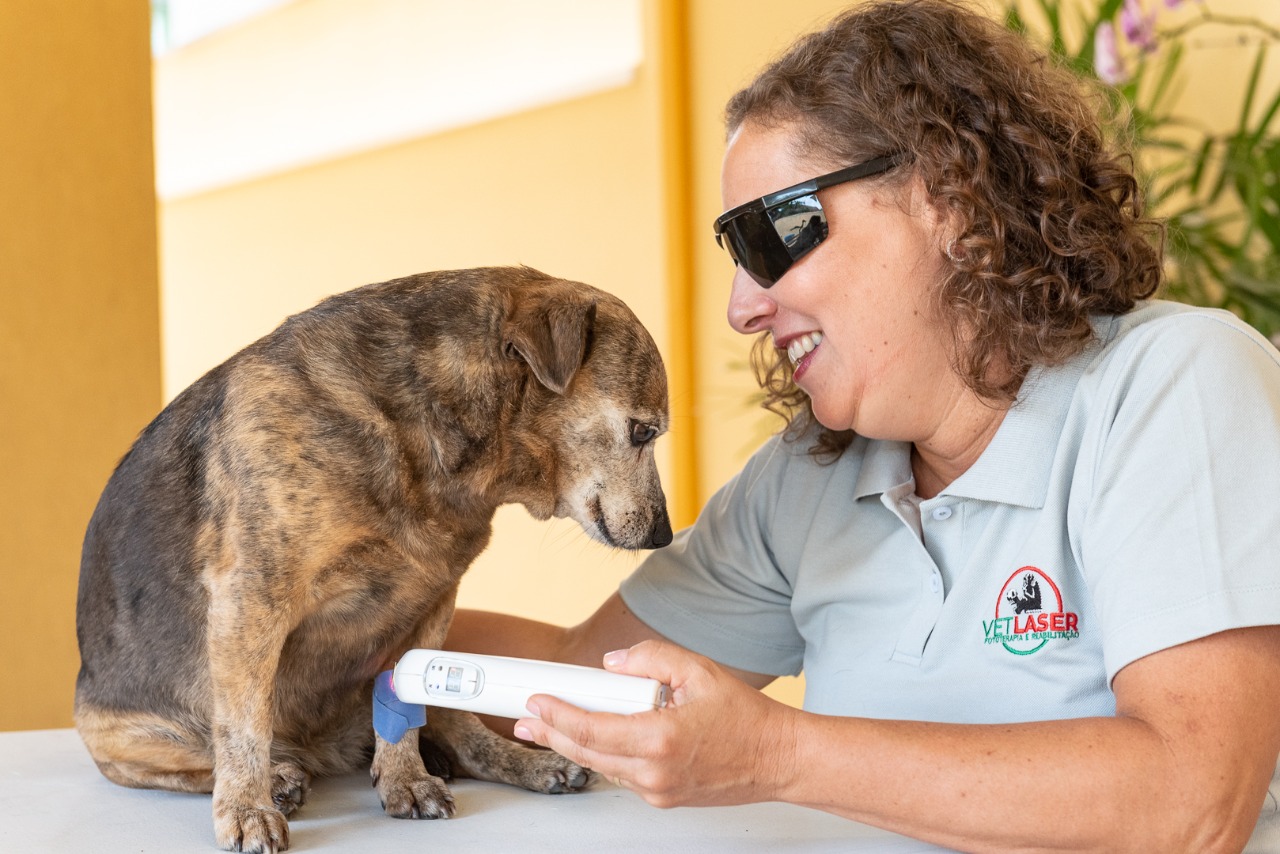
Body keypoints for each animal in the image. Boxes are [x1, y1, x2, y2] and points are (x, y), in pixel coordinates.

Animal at [72, 263, 670, 850]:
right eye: (643, 431)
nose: (664, 535)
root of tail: (323, 750)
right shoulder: (252, 597)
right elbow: (243, 728)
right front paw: (247, 808)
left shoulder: (430, 608)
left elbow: (403, 715)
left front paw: (406, 779)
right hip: (117, 736)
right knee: (202, 757)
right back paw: (279, 778)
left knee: (467, 737)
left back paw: (529, 763)